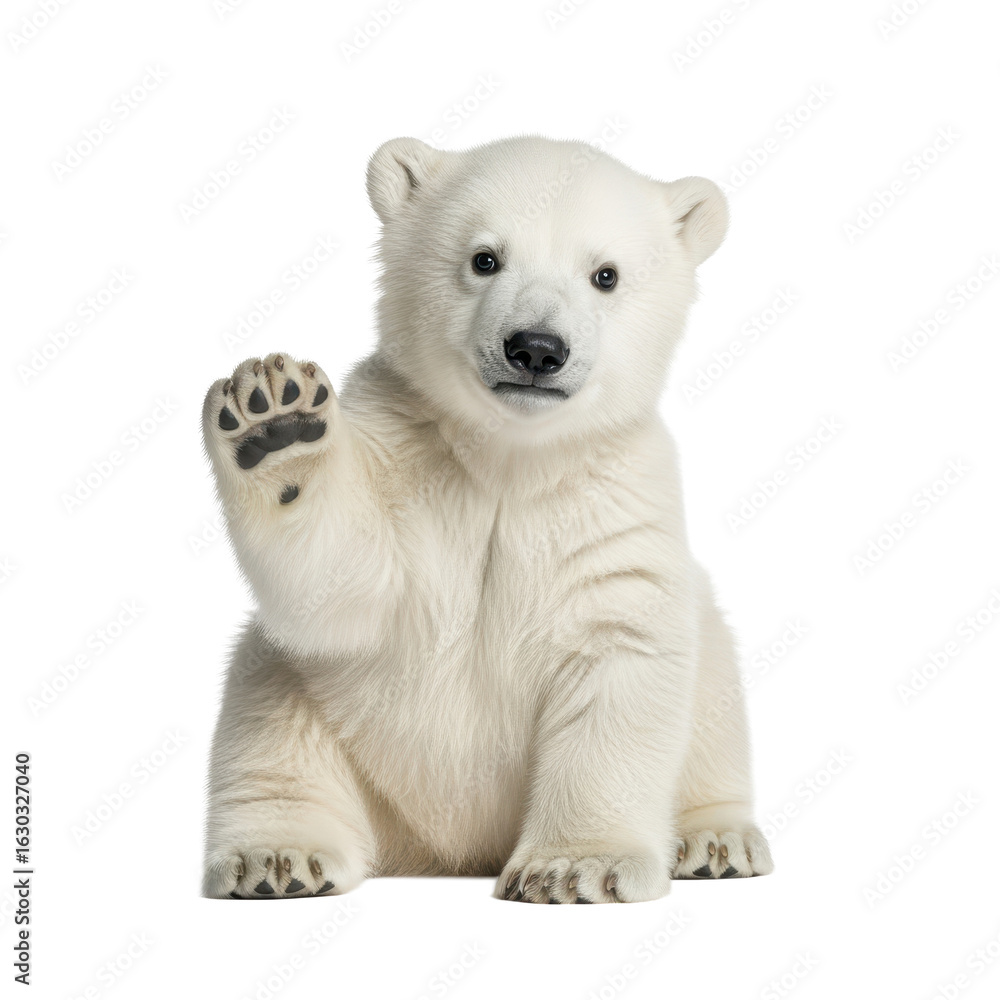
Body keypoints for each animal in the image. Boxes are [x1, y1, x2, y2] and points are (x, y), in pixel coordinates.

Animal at [200, 135, 773, 904]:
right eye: (484, 259)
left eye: (605, 275)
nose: (536, 348)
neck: (510, 460)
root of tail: (441, 851)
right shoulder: (408, 465)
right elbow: (345, 590)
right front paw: (277, 421)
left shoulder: (613, 505)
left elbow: (617, 654)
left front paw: (573, 867)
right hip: (312, 710)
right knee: (269, 721)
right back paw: (277, 856)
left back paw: (715, 840)